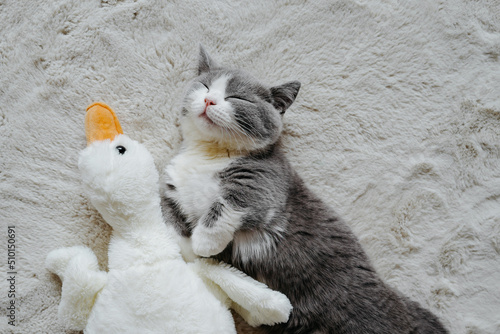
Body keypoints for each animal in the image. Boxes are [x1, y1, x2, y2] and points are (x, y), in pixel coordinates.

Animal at [161, 47, 450, 334]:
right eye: (204, 86)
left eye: (237, 97)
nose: (209, 100)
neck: (209, 153)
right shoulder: (172, 185)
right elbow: (170, 219)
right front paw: (186, 249)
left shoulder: (266, 182)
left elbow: (229, 204)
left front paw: (204, 242)